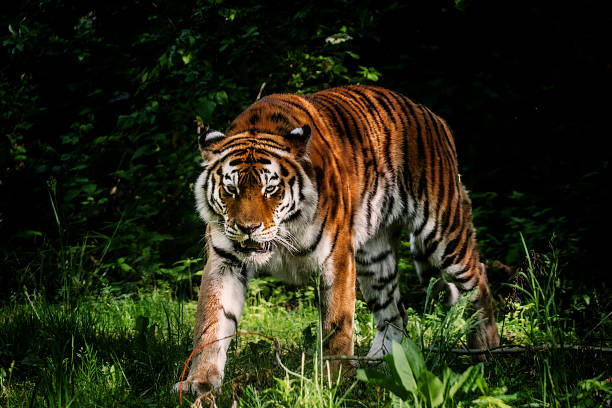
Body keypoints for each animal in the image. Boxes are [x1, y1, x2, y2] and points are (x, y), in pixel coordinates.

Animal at [175, 84, 500, 394]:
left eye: (271, 189)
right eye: (231, 189)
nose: (248, 228)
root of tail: (432, 115)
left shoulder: (337, 258)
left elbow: (337, 324)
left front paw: (336, 381)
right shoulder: (225, 262)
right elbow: (211, 323)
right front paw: (200, 381)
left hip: (442, 228)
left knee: (479, 279)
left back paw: (487, 352)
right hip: (375, 258)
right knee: (395, 312)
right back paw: (378, 363)